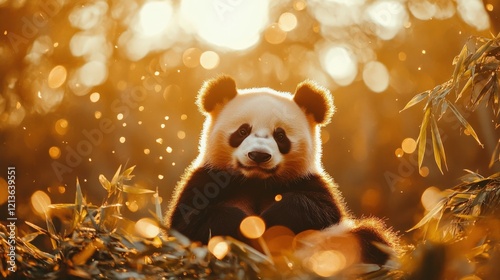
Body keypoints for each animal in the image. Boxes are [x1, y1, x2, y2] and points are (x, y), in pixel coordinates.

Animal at [166, 75, 396, 266]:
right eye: (242, 131)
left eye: (280, 136)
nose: (259, 155)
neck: (256, 181)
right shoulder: (205, 179)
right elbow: (188, 221)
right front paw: (247, 226)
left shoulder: (309, 181)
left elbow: (321, 210)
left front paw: (269, 221)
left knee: (368, 240)